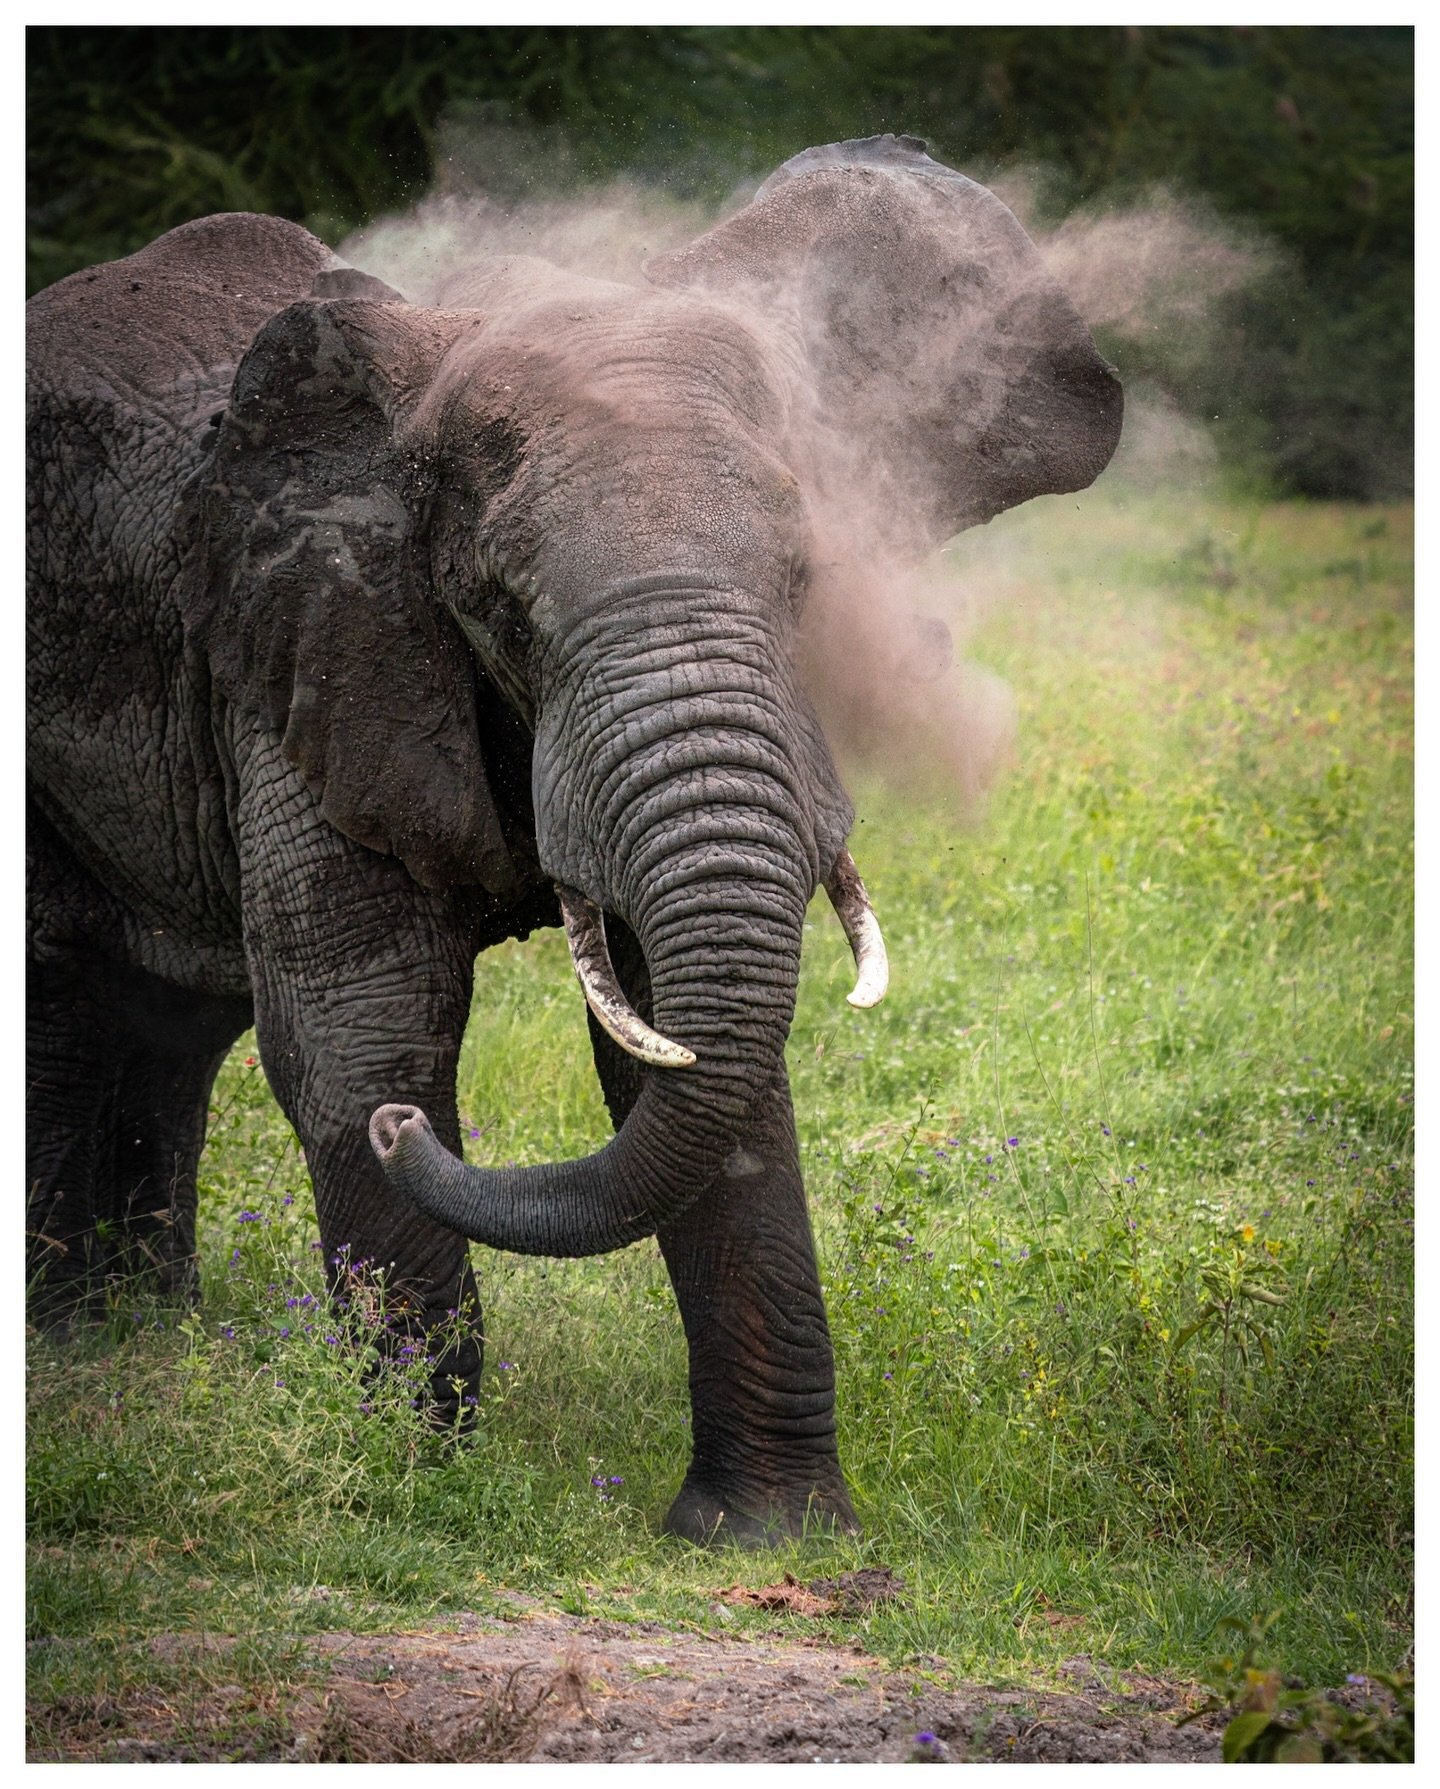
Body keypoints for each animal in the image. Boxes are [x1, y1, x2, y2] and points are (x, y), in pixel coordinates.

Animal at [26, 134, 1121, 1544]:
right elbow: (362, 1029)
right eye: (500, 605)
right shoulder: (304, 644)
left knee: (170, 1016)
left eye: (806, 582)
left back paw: (142, 1344)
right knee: (68, 998)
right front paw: (410, 1488)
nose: (406, 1136)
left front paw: (767, 1535)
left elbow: (689, 1055)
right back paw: (79, 1359)